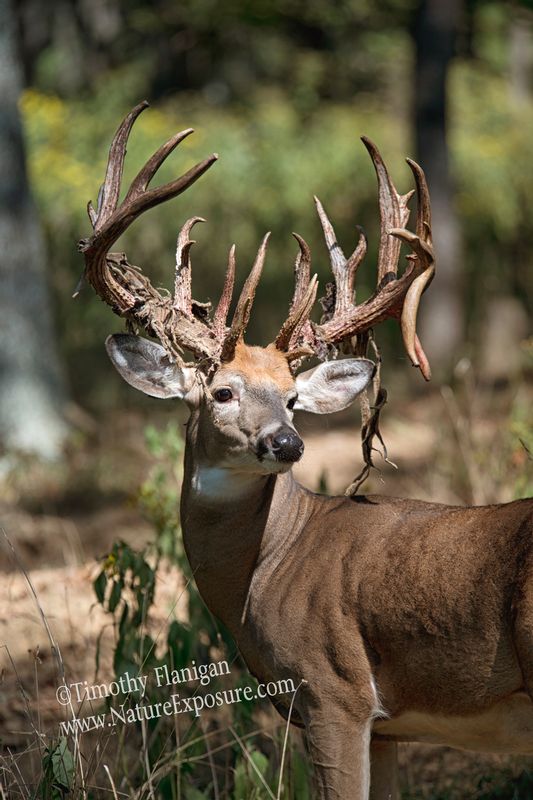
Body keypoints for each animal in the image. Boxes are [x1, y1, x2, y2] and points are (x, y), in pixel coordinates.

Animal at [78, 102, 533, 800]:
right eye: (223, 391)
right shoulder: (390, 728)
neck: (269, 567)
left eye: (293, 399)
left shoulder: (334, 691)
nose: (286, 442)